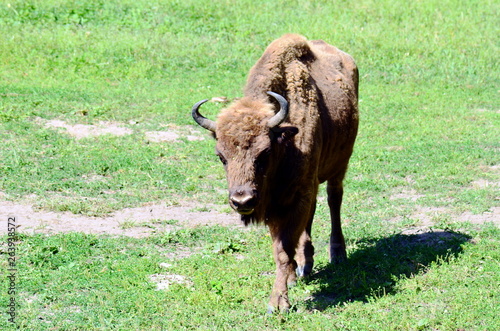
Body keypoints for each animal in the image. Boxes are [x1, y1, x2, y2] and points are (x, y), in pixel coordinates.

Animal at [191, 33, 360, 314]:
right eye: (221, 156)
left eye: (264, 153)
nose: (242, 200)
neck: (285, 137)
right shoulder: (277, 204)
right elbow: (281, 247)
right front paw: (290, 278)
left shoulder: (296, 195)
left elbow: (283, 250)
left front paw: (277, 304)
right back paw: (304, 265)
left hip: (340, 165)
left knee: (334, 199)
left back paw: (337, 254)